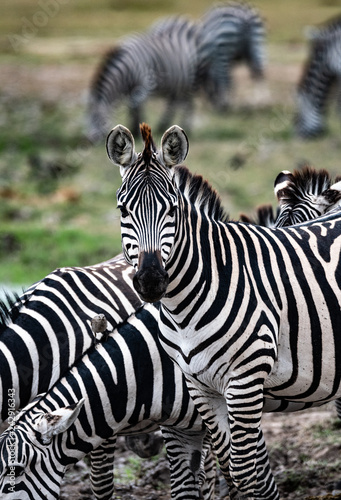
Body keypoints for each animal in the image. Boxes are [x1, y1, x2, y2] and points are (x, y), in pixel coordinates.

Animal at [108, 122, 341, 500]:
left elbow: (245, 470)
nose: (151, 280)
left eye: (172, 209)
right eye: (123, 211)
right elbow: (227, 465)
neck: (183, 310)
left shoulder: (245, 377)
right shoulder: (200, 384)